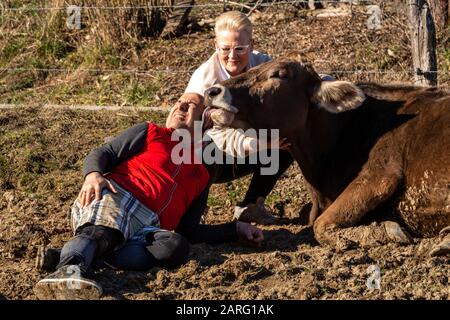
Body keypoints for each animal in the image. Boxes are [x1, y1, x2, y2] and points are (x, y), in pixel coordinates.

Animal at [205, 59, 450, 255]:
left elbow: (320, 225)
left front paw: (387, 231)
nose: (212, 91)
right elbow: (310, 217)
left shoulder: (381, 176)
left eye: (280, 74)